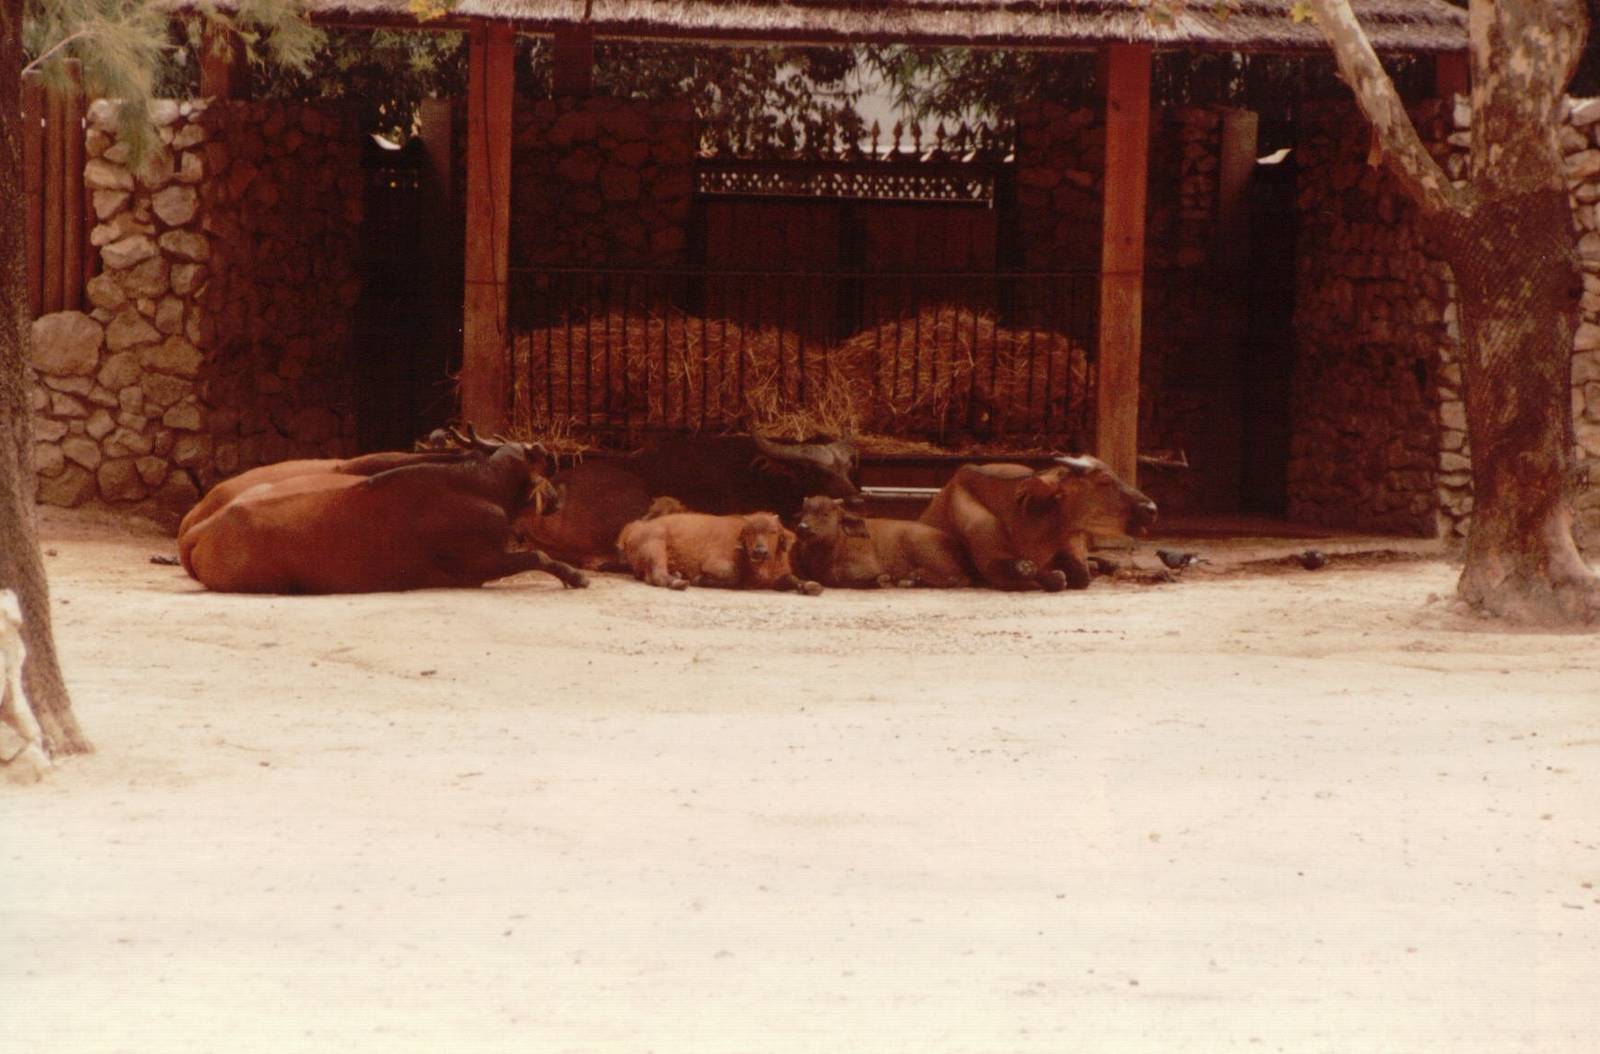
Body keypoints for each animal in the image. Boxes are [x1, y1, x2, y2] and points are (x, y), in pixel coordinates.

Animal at [180, 445, 587, 594]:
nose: (557, 500)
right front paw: (575, 576)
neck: (484, 484)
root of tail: (198, 528)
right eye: (544, 478)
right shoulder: (482, 561)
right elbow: (537, 555)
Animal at [616, 510, 822, 594]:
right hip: (656, 546)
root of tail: (635, 526)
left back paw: (677, 575)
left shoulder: (780, 576)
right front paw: (699, 579)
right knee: (657, 575)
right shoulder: (714, 564)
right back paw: (679, 582)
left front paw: (812, 586)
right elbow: (731, 575)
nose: (759, 551)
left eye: (773, 531)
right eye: (749, 532)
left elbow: (793, 579)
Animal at [793, 496, 969, 589]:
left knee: (958, 579)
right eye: (804, 512)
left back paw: (909, 579)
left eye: (825, 514)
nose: (802, 527)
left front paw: (884, 579)